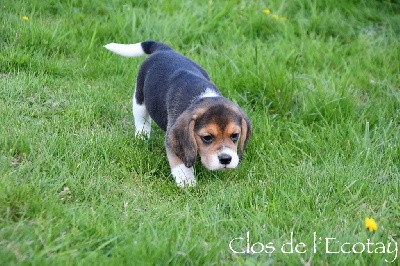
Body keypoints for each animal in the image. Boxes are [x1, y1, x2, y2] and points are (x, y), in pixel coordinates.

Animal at [104, 41, 252, 187]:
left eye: (235, 135)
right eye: (207, 137)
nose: (226, 159)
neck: (203, 96)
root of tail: (165, 50)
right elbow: (180, 161)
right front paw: (186, 181)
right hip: (139, 98)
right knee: (142, 120)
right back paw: (141, 137)